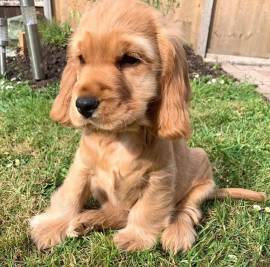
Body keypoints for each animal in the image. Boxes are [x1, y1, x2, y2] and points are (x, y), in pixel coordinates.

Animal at [29, 0, 266, 254]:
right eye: (81, 59)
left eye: (130, 59)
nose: (83, 105)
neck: (118, 137)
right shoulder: (81, 166)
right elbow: (70, 195)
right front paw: (52, 226)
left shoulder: (159, 178)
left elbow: (147, 210)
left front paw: (136, 237)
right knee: (120, 212)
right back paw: (89, 220)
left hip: (202, 175)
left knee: (185, 210)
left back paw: (176, 234)